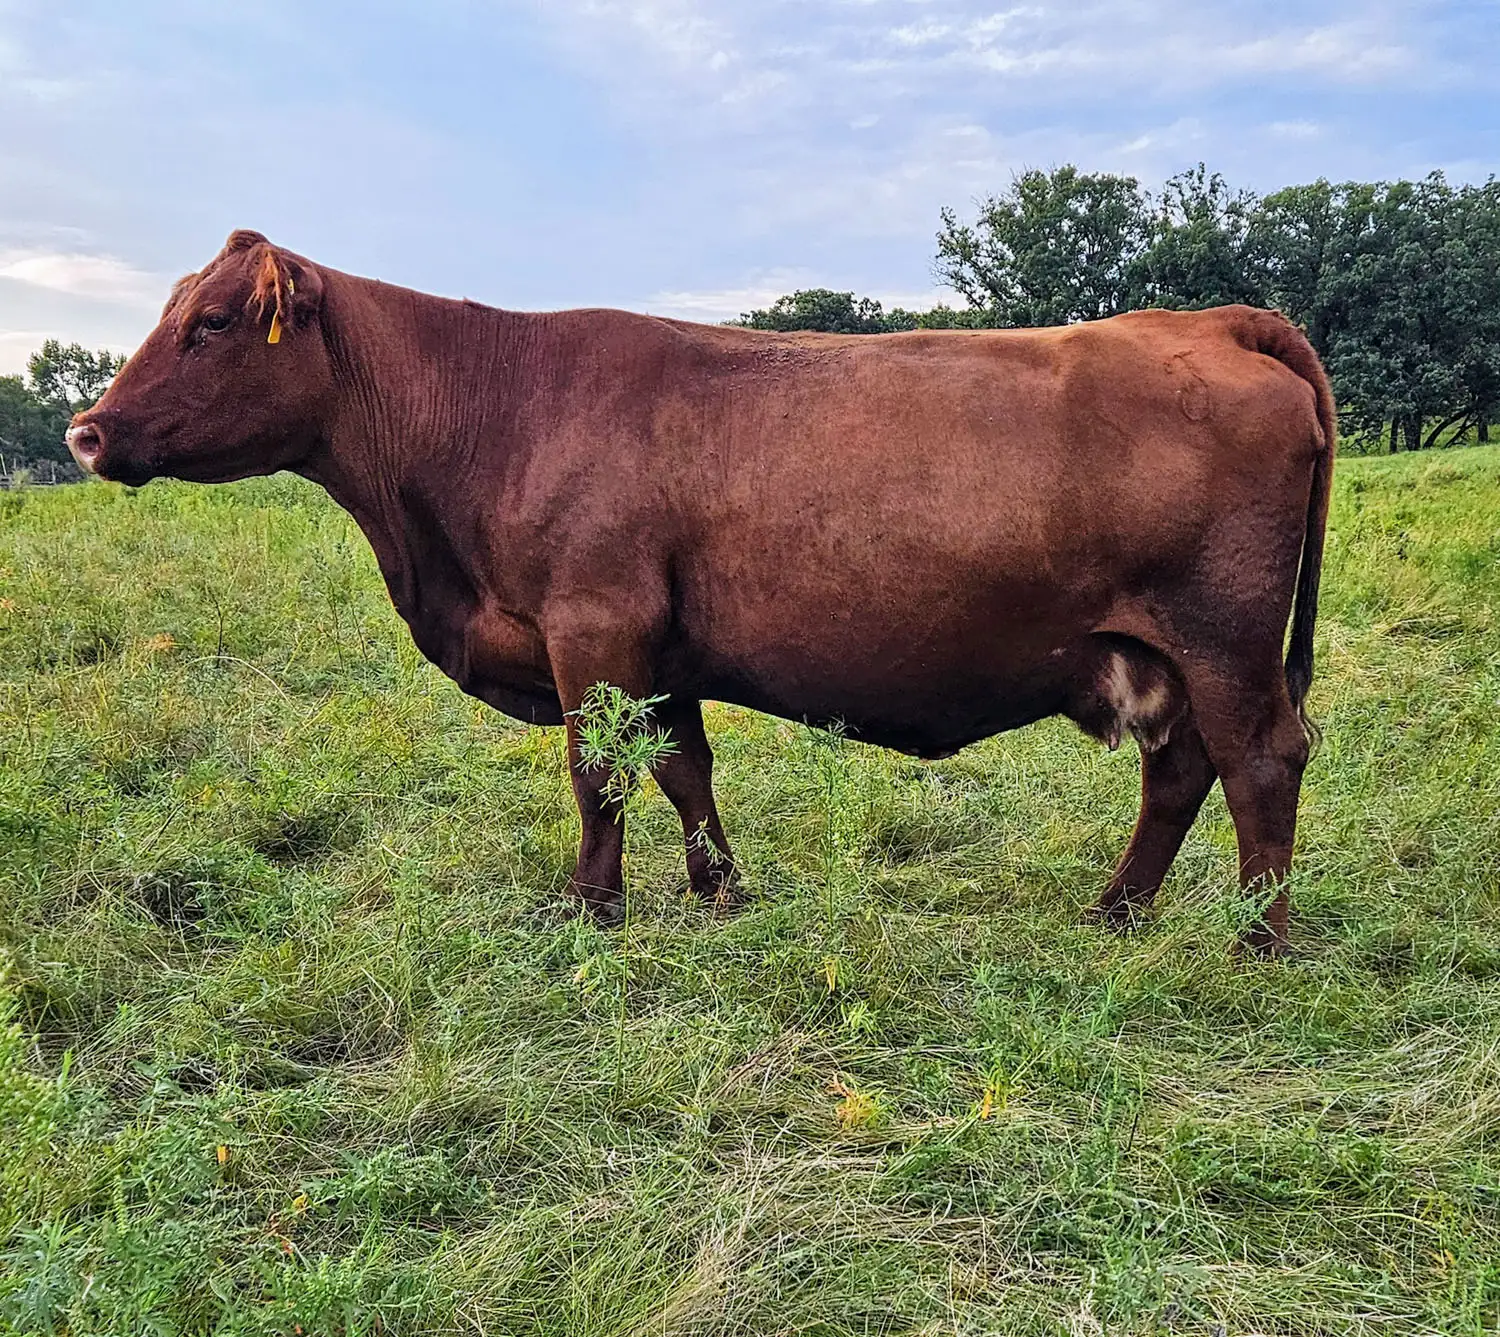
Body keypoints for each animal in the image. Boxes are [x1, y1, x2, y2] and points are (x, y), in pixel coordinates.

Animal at [67, 230, 1335, 954]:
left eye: (211, 322)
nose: (87, 430)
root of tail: (1215, 319)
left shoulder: (590, 630)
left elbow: (599, 774)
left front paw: (592, 910)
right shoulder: (654, 653)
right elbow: (682, 767)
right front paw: (718, 887)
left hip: (1221, 641)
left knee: (1260, 760)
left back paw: (1255, 941)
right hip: (1163, 654)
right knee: (1181, 772)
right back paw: (1116, 911)